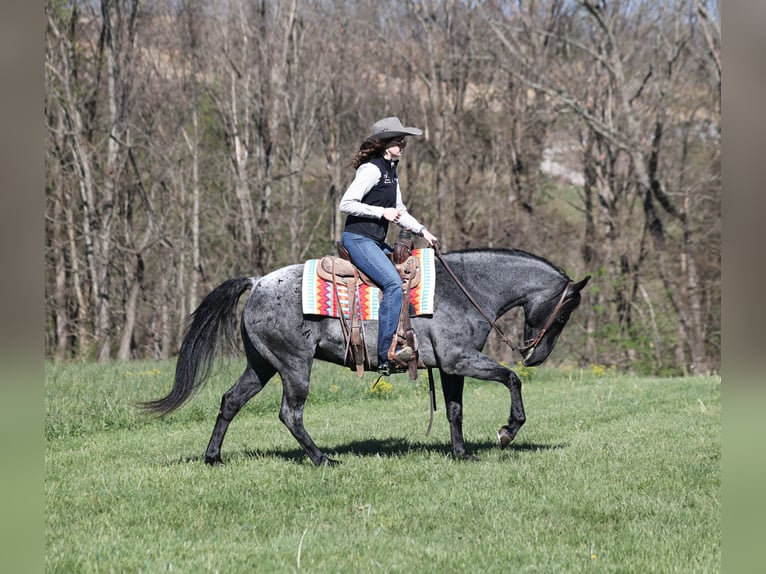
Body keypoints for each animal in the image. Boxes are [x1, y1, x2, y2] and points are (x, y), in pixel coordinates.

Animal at [140, 248, 590, 466]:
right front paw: (507, 430)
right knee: (290, 414)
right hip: (294, 366)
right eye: (565, 311)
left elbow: (455, 411)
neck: (465, 288)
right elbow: (511, 380)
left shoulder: (449, 367)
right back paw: (323, 459)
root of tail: (258, 282)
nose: (535, 356)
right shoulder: (460, 359)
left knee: (231, 401)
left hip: (262, 365)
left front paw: (463, 454)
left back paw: (213, 457)